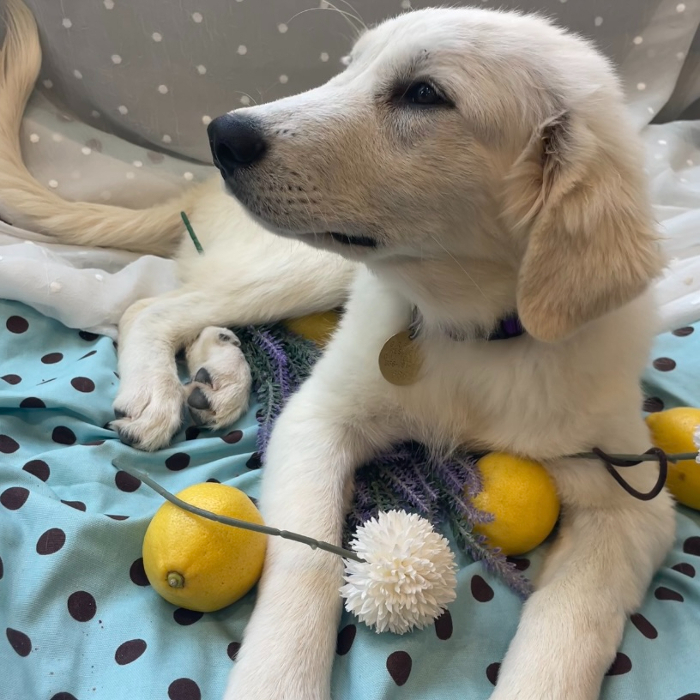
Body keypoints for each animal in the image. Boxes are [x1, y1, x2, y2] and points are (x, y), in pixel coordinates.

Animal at [0, 2, 680, 696]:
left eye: (424, 94)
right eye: (349, 68)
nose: (220, 136)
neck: (468, 331)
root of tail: (199, 191)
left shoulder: (631, 500)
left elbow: (567, 629)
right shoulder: (316, 421)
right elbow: (309, 558)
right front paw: (278, 679)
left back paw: (218, 376)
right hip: (306, 266)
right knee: (150, 306)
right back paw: (157, 395)